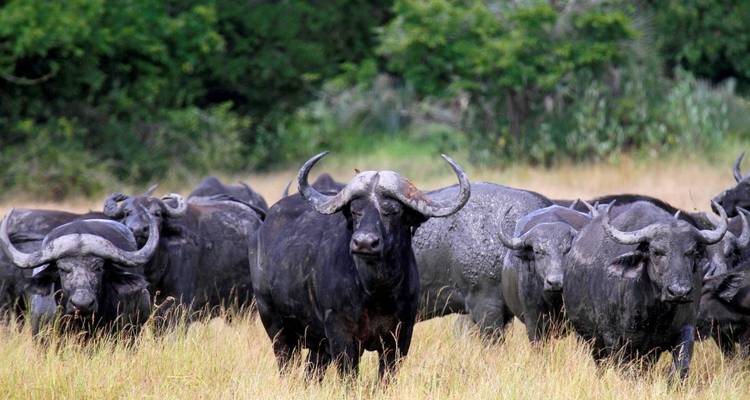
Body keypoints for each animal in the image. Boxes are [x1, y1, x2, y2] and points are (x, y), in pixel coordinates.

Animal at [251, 152, 470, 378]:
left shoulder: (400, 336)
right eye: (356, 211)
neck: (376, 291)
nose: (364, 242)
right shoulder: (341, 334)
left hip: (316, 343)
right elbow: (349, 375)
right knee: (287, 365)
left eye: (392, 211)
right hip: (276, 326)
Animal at [563, 201, 728, 378]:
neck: (656, 312)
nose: (679, 292)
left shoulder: (685, 330)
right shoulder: (614, 339)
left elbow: (680, 367)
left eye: (692, 252)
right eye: (656, 252)